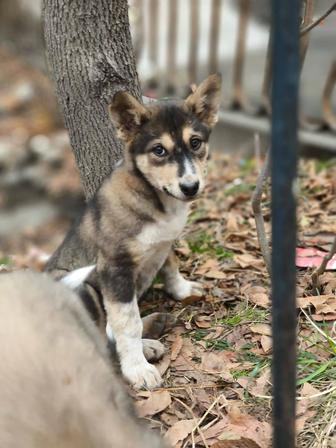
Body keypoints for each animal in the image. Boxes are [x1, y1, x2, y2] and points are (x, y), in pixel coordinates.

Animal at [46, 73, 222, 388]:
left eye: (196, 143)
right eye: (159, 150)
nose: (191, 187)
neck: (155, 199)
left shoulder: (165, 241)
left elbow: (170, 266)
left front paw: (182, 289)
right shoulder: (115, 268)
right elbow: (128, 323)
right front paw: (137, 369)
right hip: (79, 289)